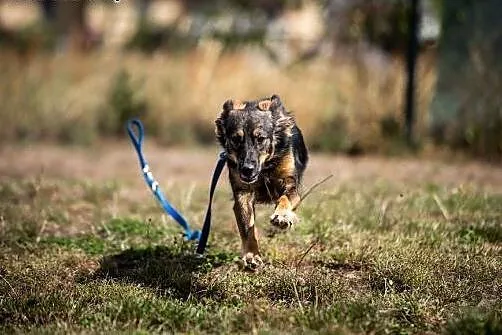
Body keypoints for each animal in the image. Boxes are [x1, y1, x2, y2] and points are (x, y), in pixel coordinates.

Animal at [215, 94, 308, 270]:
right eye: (236, 139)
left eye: (261, 139)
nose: (247, 169)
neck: (265, 168)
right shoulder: (243, 193)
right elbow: (247, 227)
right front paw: (251, 255)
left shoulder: (290, 184)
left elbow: (284, 198)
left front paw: (282, 216)